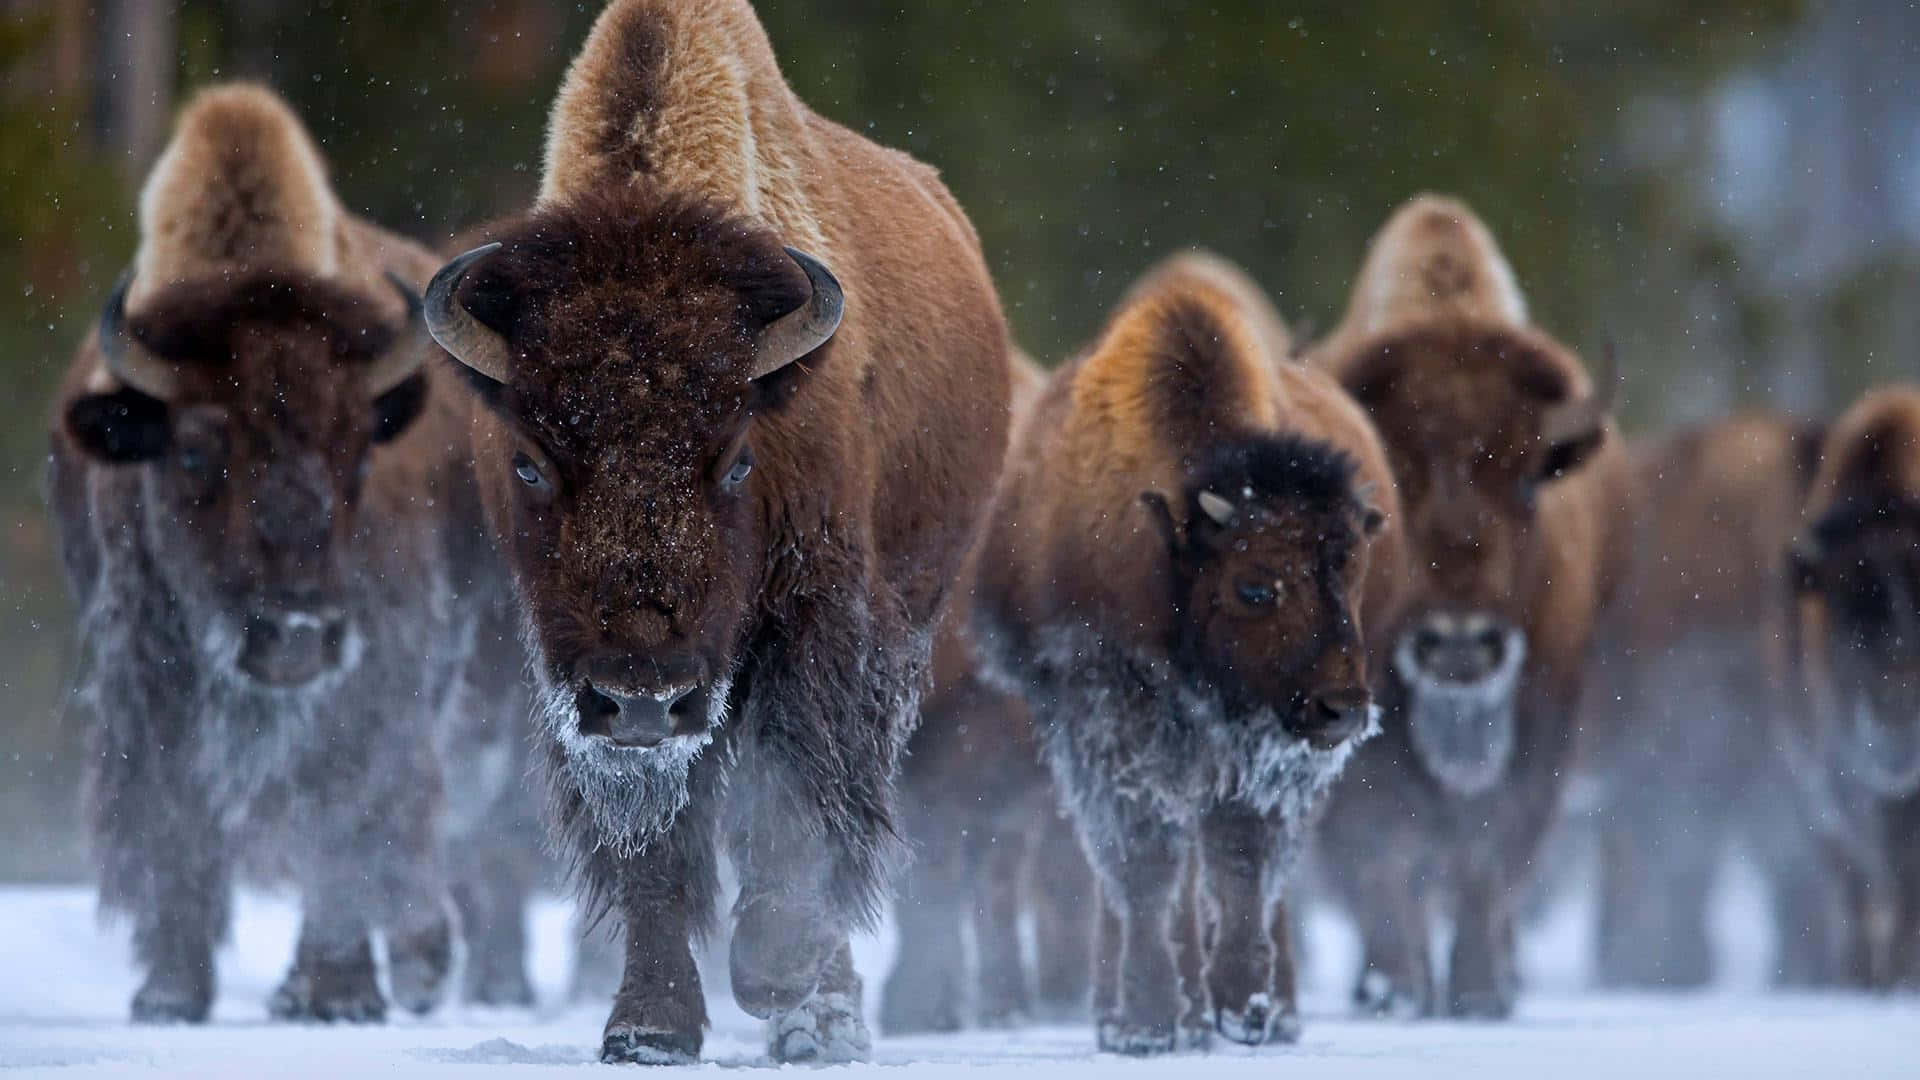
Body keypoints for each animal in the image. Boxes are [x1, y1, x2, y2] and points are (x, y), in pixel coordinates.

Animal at [414, 0, 1013, 1060]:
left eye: (737, 458)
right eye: (529, 461)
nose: (642, 693)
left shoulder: (817, 619)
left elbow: (796, 804)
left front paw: (776, 982)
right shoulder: (584, 689)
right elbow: (654, 845)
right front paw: (647, 1028)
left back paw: (822, 1018)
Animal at [975, 251, 1413, 1053]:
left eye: (1354, 570)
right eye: (1254, 586)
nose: (1342, 708)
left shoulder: (1263, 757)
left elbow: (1242, 863)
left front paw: (1244, 1008)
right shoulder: (1107, 717)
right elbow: (1145, 864)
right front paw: (1150, 1023)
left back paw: (1272, 1012)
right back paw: (1127, 1014)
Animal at [1313, 195, 1628, 1014]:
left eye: (1526, 479)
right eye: (1392, 481)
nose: (1458, 640)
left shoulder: (1544, 725)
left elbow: (1491, 852)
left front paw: (1481, 993)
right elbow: (1384, 853)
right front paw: (1395, 990)